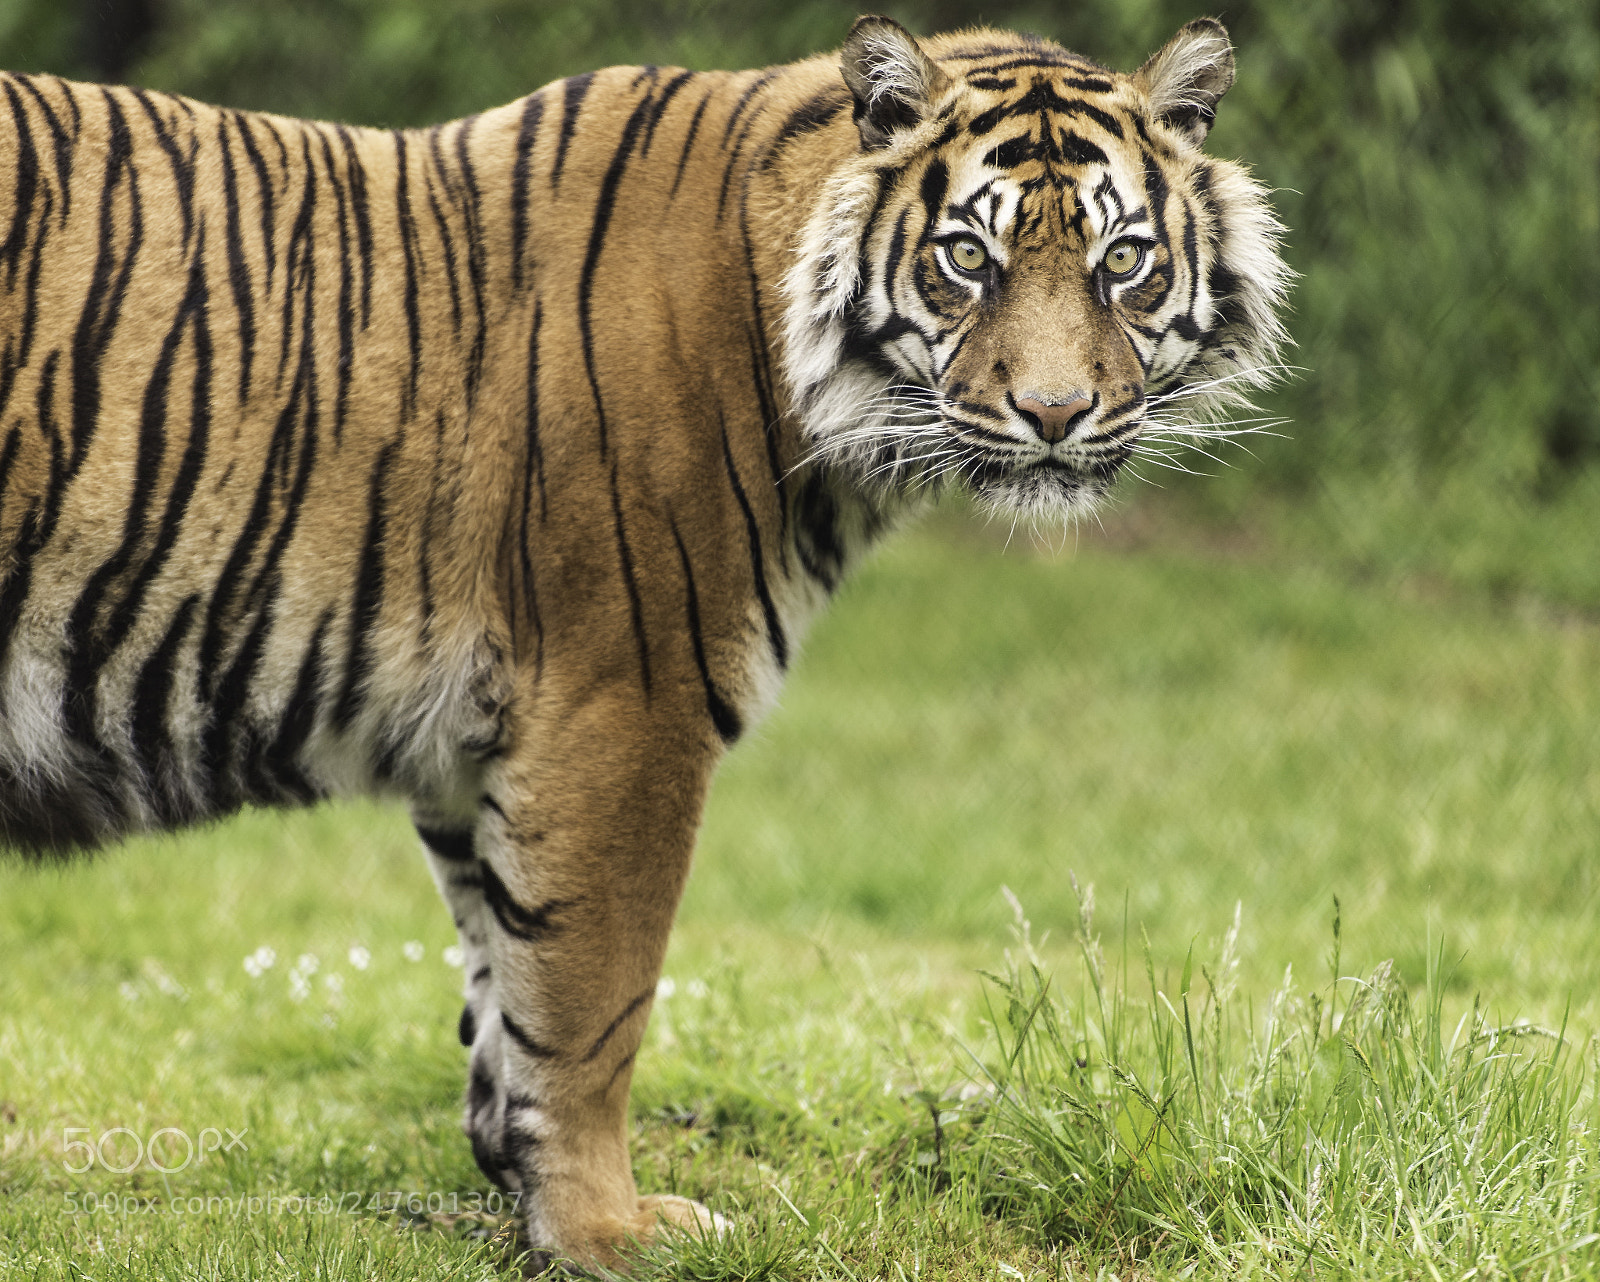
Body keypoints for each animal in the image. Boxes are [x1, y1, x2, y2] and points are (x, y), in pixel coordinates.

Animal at [0, 13, 1288, 1269]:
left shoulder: (476, 749)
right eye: (968, 258)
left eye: (1122, 259)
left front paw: (521, 1186)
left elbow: (500, 975)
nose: (1056, 415)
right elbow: (592, 1002)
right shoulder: (623, 706)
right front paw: (603, 1230)